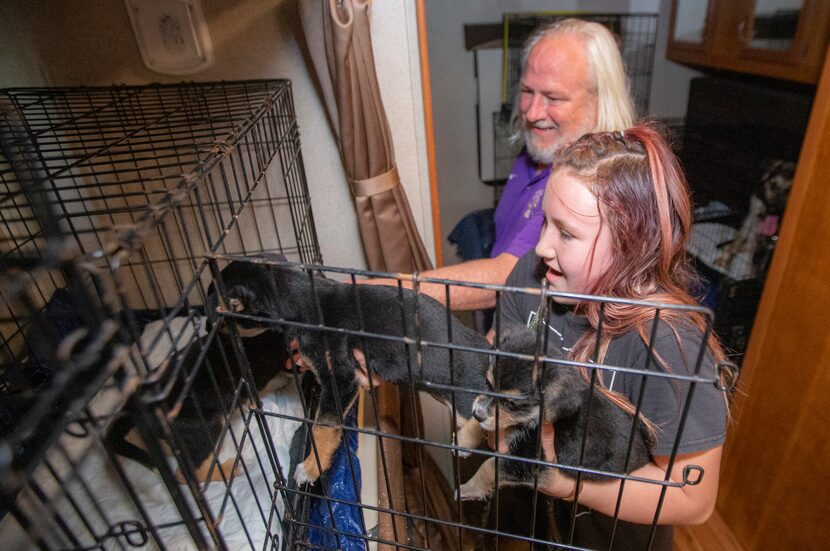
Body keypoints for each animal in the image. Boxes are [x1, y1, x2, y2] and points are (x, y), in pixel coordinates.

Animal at [458, 330, 652, 502]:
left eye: (512, 404)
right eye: (487, 383)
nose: (478, 414)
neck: (533, 419)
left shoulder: (529, 461)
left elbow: (490, 466)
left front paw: (466, 489)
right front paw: (462, 439)